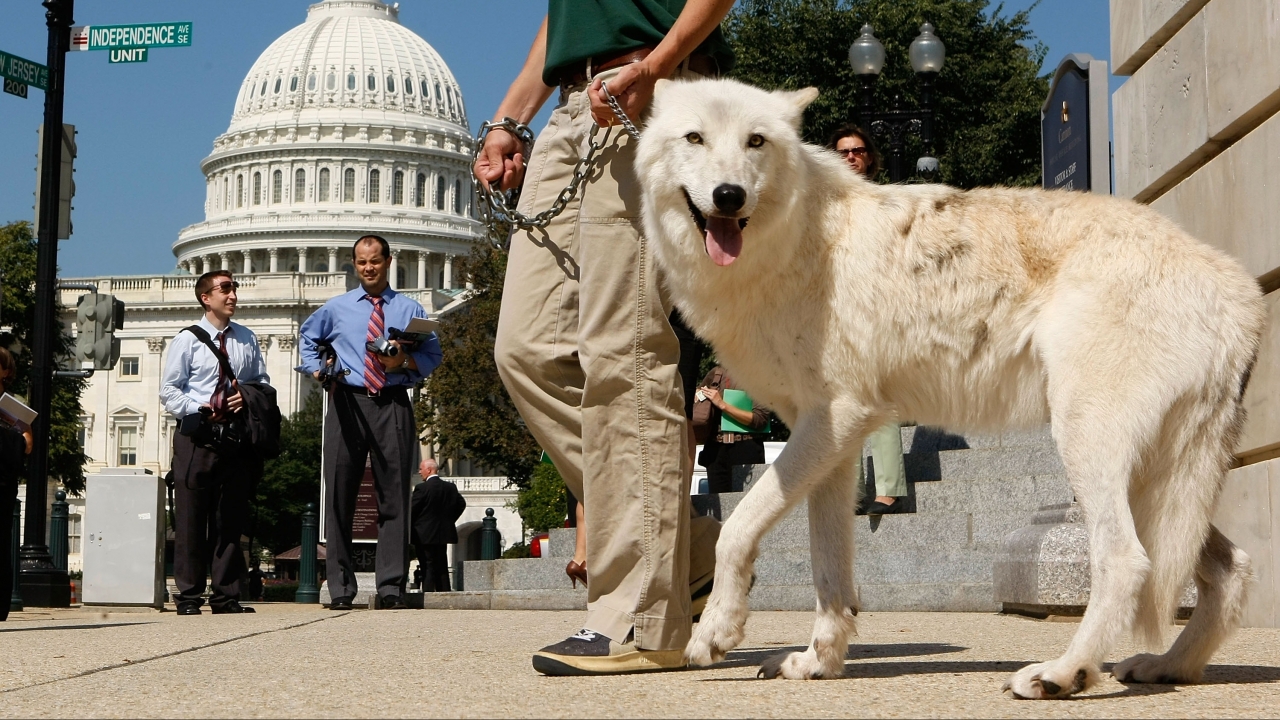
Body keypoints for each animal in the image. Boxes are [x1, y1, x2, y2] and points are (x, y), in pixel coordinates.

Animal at [634, 78, 1264, 696]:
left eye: (756, 141)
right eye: (695, 137)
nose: (729, 195)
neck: (791, 246)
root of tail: (1241, 290)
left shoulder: (836, 419)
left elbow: (735, 529)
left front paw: (714, 634)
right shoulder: (832, 441)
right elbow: (829, 570)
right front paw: (817, 663)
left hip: (1090, 447)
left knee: (1127, 560)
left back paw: (1064, 673)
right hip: (1160, 482)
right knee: (1229, 566)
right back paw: (1167, 666)